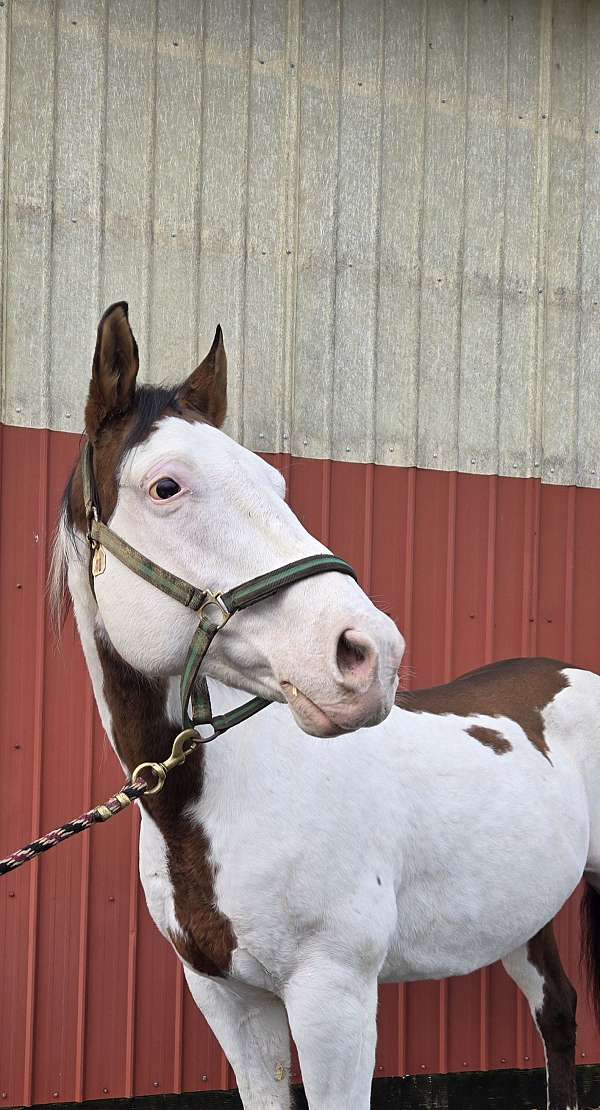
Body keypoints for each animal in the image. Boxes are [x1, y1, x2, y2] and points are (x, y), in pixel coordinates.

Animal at [52, 299, 598, 1105]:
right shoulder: (230, 1002)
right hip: (527, 913)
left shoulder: (332, 997)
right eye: (166, 487)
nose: (371, 654)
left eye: (274, 483)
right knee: (557, 1011)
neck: (214, 807)